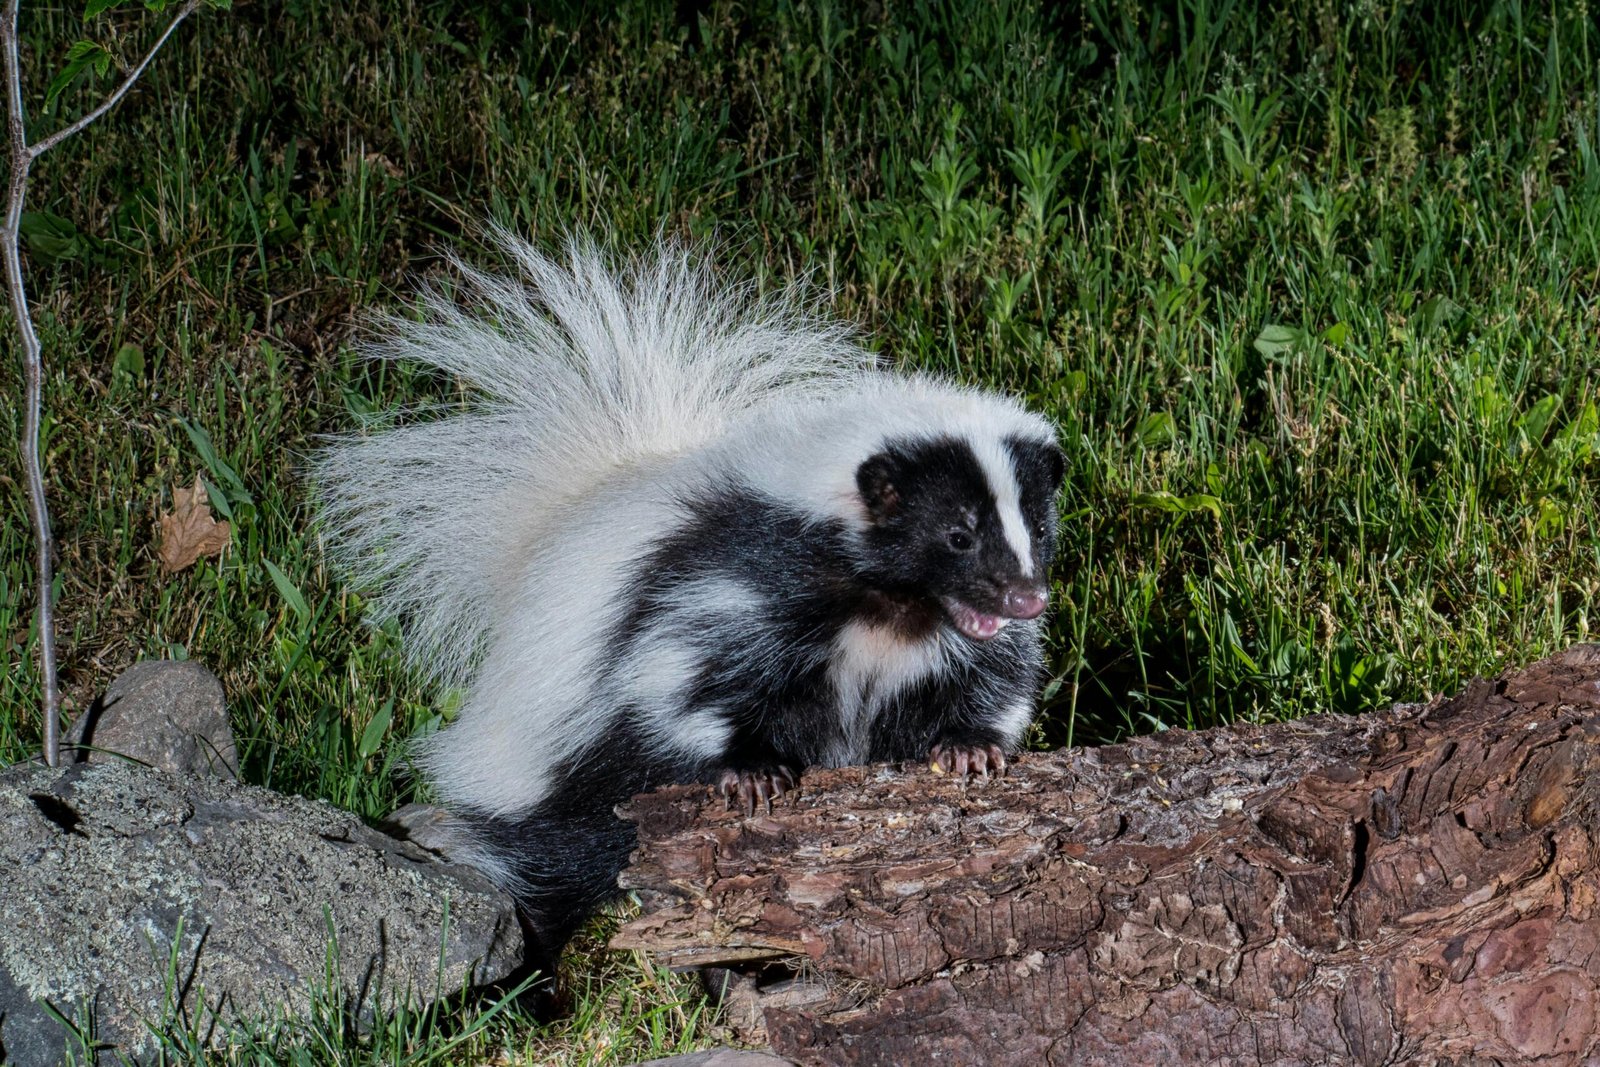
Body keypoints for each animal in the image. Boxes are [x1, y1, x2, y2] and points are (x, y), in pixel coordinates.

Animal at [310, 238, 1062, 979]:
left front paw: (970, 750)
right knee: (546, 871)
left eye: (1037, 525)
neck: (891, 614)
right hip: (559, 781)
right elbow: (680, 681)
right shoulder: (732, 587)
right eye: (957, 534)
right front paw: (752, 772)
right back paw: (536, 978)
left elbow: (995, 679)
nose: (1026, 597)